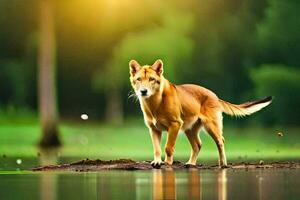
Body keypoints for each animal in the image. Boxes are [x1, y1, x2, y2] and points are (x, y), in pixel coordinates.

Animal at [129, 59, 272, 167]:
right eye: (139, 79)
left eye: (152, 79)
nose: (143, 91)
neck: (153, 102)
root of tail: (215, 95)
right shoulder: (154, 128)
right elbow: (156, 148)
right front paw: (157, 162)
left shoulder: (175, 124)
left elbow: (168, 147)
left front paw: (168, 163)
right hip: (190, 128)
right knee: (197, 145)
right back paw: (191, 164)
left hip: (211, 125)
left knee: (220, 140)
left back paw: (223, 164)